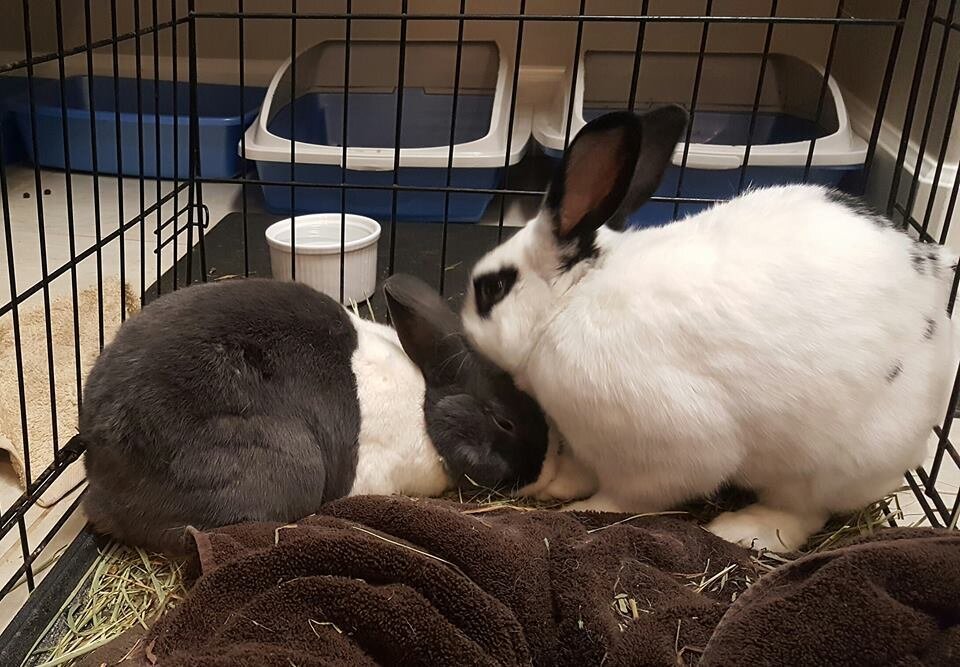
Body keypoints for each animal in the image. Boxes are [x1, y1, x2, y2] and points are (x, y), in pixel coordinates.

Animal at [460, 106, 958, 552]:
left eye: (493, 287)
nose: (463, 325)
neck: (566, 304)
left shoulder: (667, 444)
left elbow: (632, 494)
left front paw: (579, 511)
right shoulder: (586, 440)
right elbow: (581, 468)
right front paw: (553, 487)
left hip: (826, 464)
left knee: (800, 513)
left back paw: (741, 529)